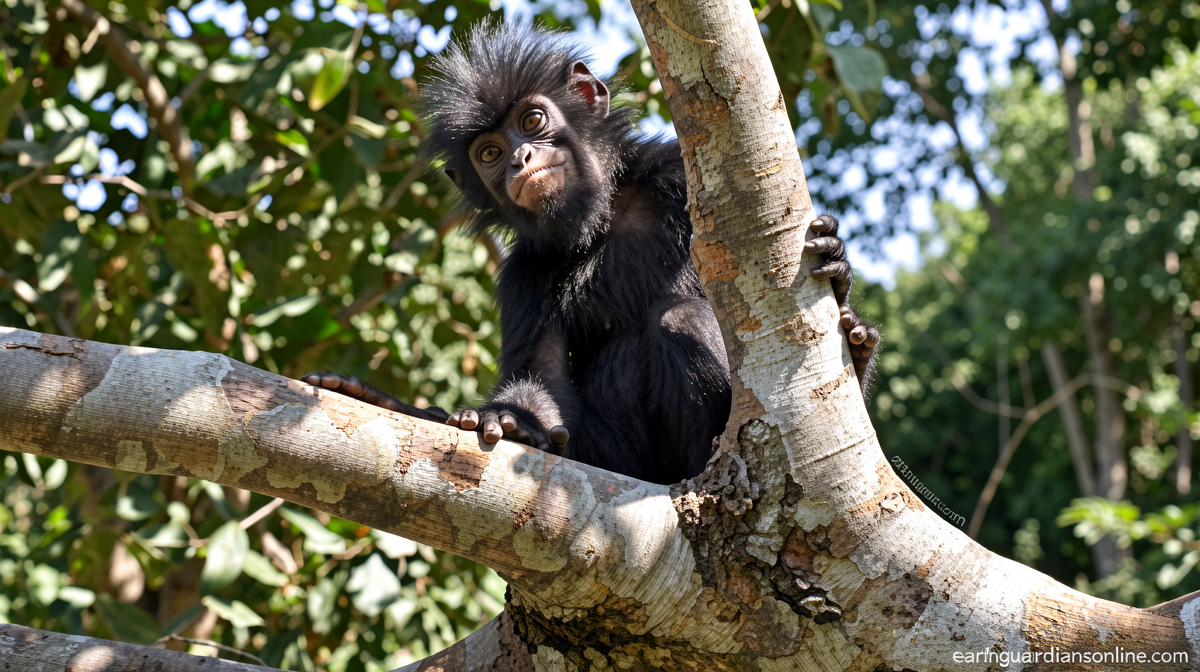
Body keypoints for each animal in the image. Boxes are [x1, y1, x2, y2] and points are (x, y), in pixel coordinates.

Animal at [304, 21, 880, 485]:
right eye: (488, 153)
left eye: (532, 121)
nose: (520, 157)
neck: (604, 218)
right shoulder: (525, 275)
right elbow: (546, 378)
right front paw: (511, 422)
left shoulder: (678, 177)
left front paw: (836, 265)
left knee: (682, 317)